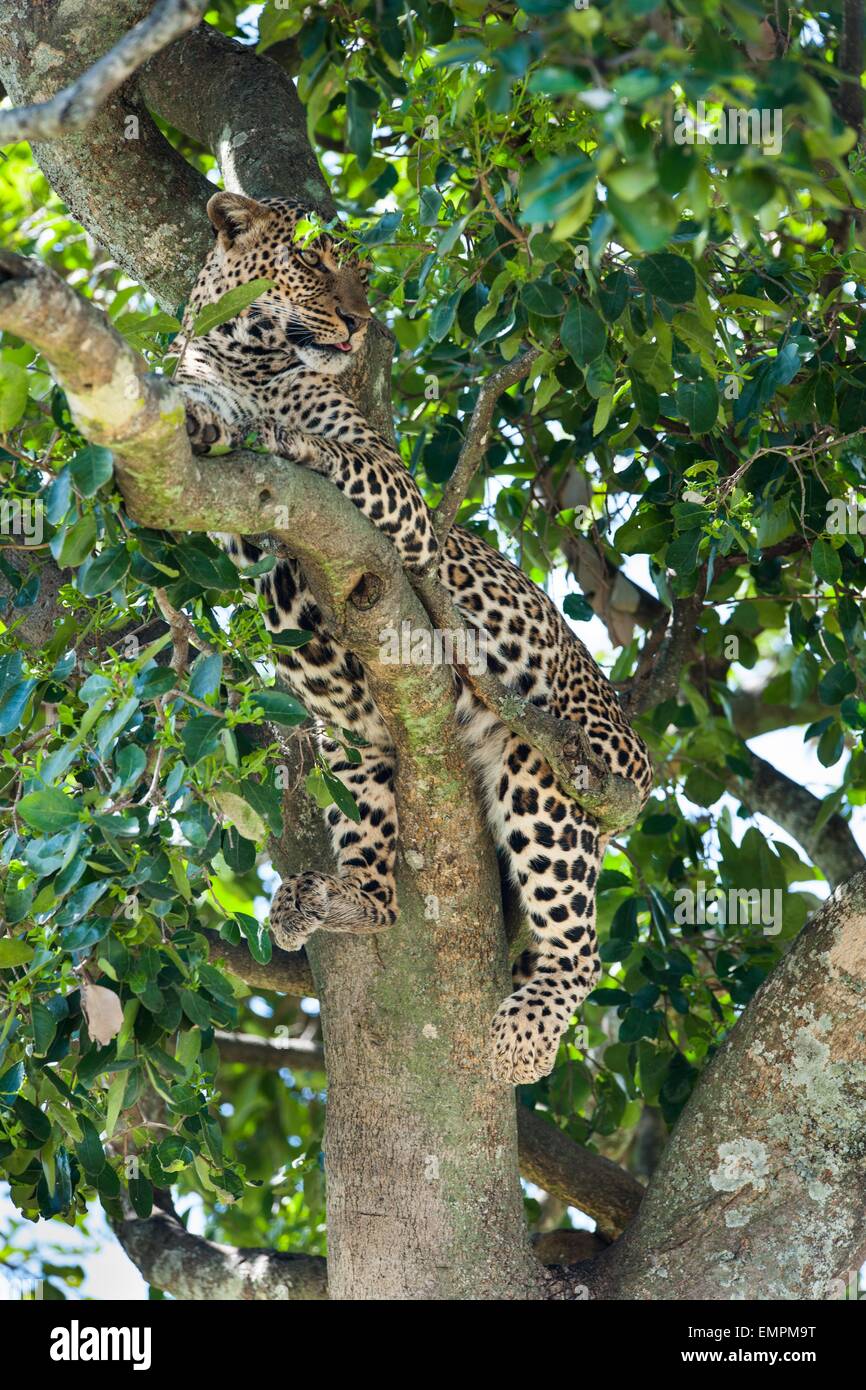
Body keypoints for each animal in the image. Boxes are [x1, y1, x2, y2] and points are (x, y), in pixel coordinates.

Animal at [174, 191, 654, 1086]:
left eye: (362, 271)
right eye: (312, 260)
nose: (361, 324)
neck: (252, 359)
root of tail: (643, 760)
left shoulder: (398, 495)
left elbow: (339, 456)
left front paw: (291, 439)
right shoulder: (227, 519)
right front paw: (197, 415)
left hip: (548, 772)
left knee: (581, 946)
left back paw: (523, 1040)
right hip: (351, 744)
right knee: (383, 875)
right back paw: (335, 900)